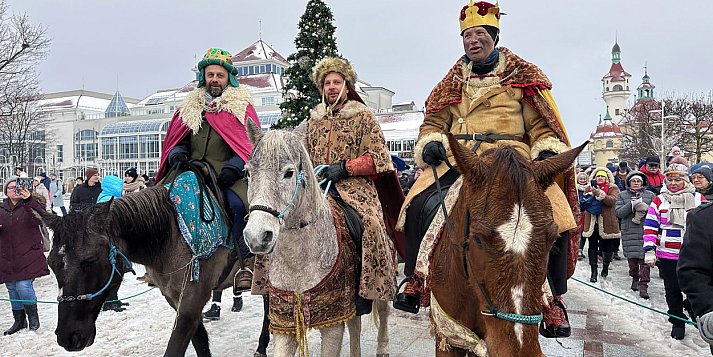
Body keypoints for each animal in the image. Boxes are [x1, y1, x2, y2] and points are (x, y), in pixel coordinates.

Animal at [243, 120, 390, 356]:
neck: (298, 262)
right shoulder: (286, 323)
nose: (257, 236)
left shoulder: (333, 321)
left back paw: (383, 347)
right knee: (355, 326)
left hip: (380, 276)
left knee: (383, 311)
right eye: (247, 173)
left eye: (289, 173)